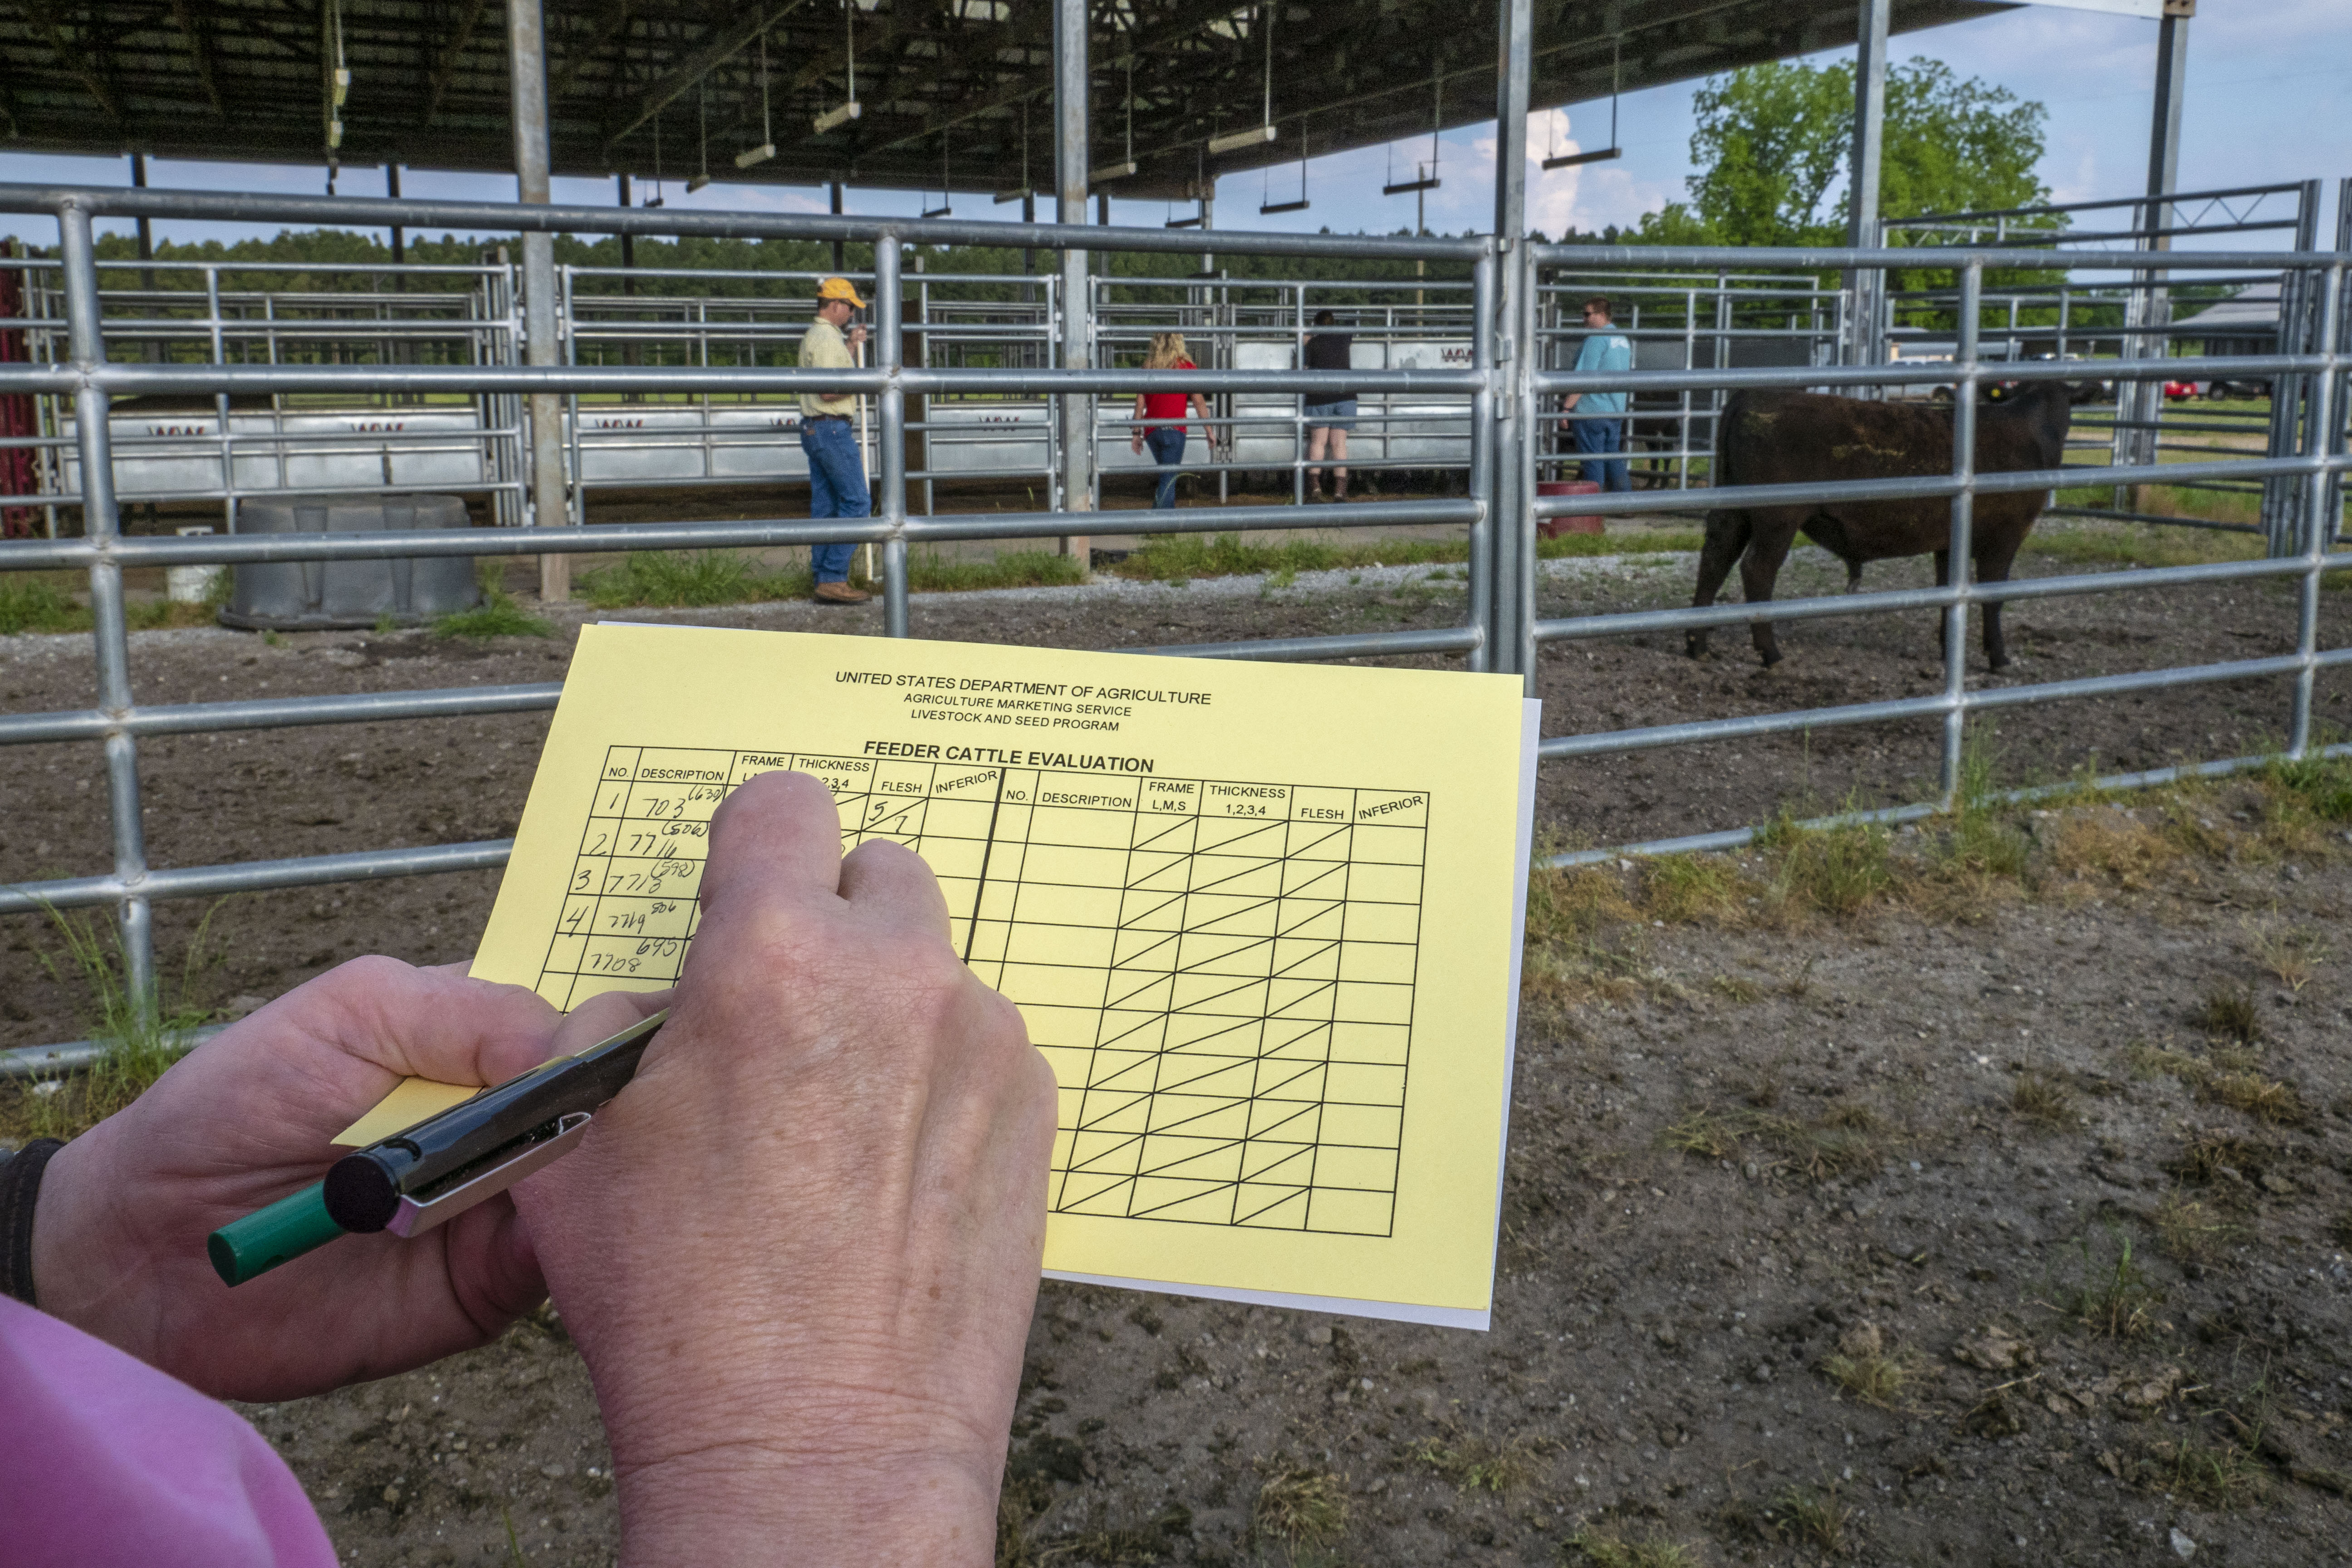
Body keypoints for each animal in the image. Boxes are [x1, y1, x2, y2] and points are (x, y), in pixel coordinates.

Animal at [1693, 385, 2079, 677]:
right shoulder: (2007, 534)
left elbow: (1948, 589)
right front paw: (1998, 658)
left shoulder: (1949, 542)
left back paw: (1697, 644)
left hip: (1735, 512)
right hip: (1778, 518)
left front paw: (1948, 648)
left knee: (1716, 557)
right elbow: (1993, 596)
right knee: (1757, 569)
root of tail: (1755, 394)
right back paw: (1770, 652)